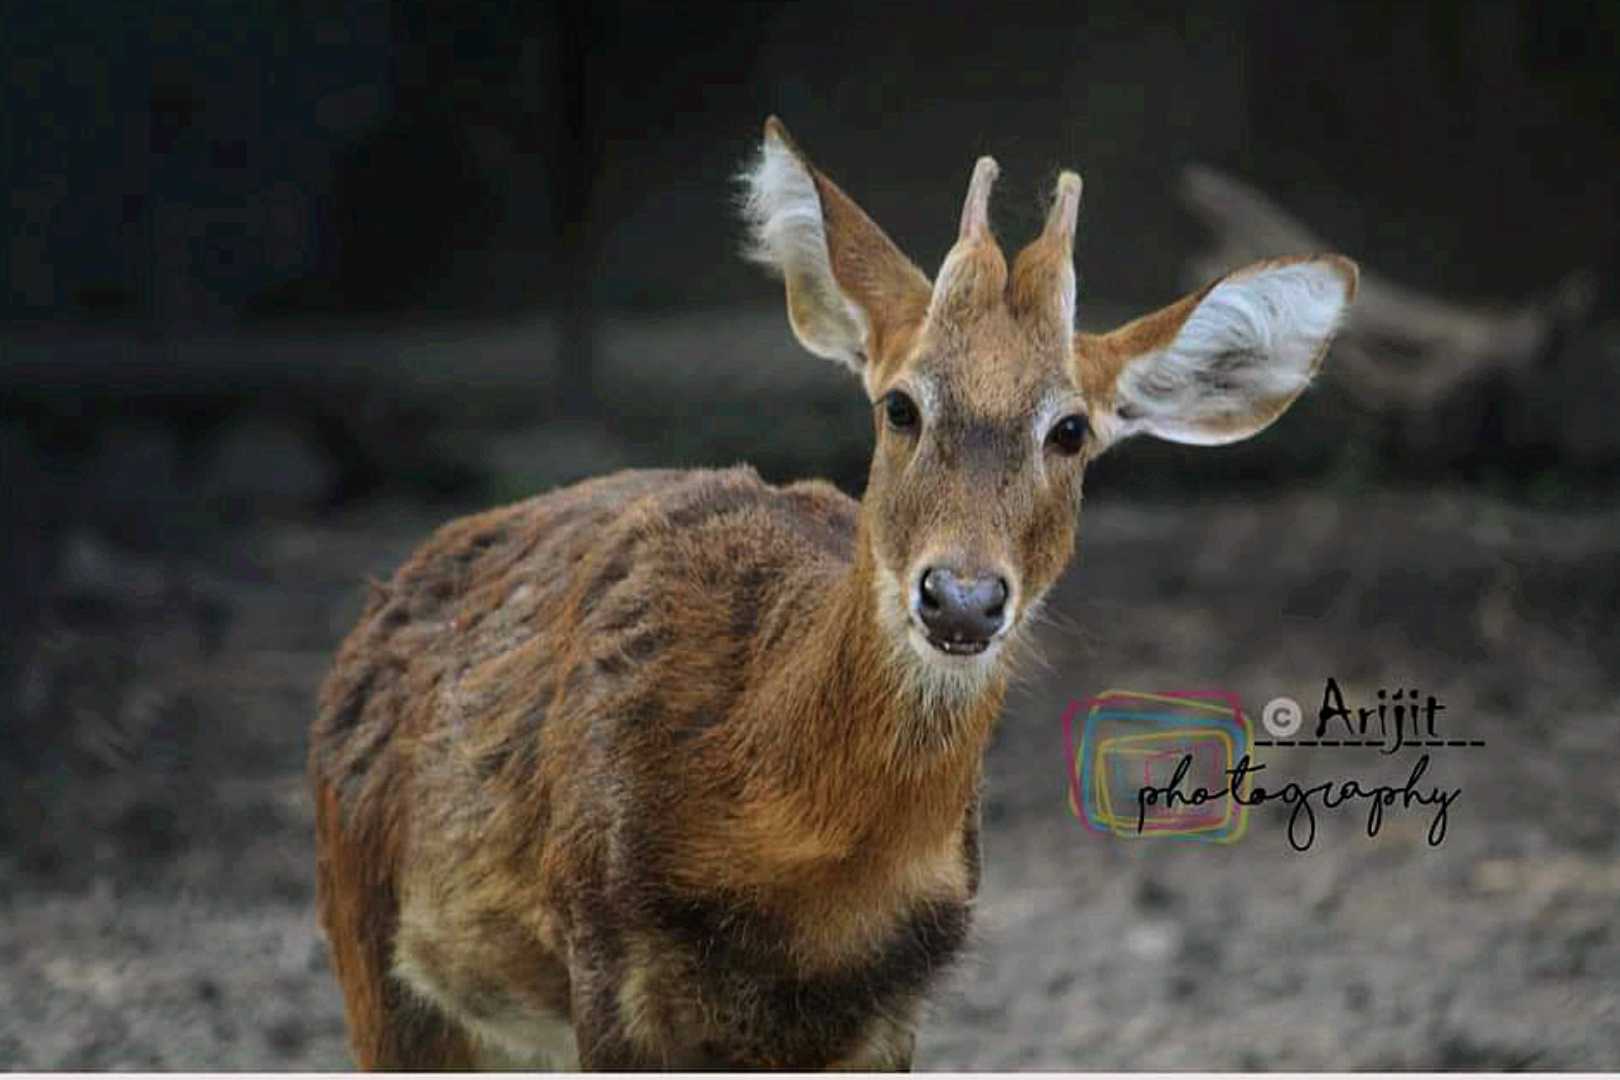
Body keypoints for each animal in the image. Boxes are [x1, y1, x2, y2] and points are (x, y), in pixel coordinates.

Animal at [309, 116, 1358, 1070]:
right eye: (900, 406)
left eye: (1070, 431)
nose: (961, 598)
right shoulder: (605, 950)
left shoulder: (894, 1003)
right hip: (369, 932)